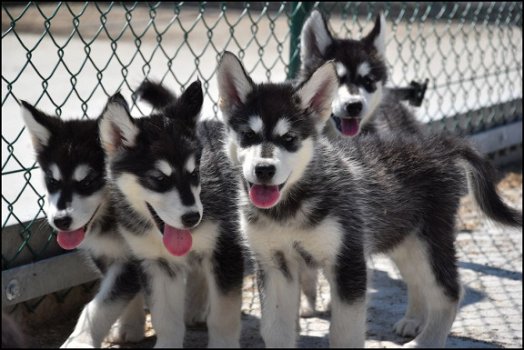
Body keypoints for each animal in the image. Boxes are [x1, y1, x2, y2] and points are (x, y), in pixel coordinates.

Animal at [20, 102, 145, 348]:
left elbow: (100, 305)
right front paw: (129, 326)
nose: (60, 221)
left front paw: (80, 341)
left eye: (88, 182)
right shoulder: (105, 253)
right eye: (52, 181)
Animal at [99, 81, 246, 348]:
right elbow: (165, 319)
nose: (192, 218)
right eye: (158, 179)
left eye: (195, 174)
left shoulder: (226, 250)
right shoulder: (157, 264)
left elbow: (224, 314)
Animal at [216, 51, 520, 348]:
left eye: (289, 138)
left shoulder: (348, 260)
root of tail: (438, 145)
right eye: (248, 135)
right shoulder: (274, 264)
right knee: (417, 281)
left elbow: (345, 334)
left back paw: (426, 341)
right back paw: (413, 320)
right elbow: (275, 331)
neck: (290, 207)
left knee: (449, 291)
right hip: (402, 238)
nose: (264, 170)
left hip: (429, 239)